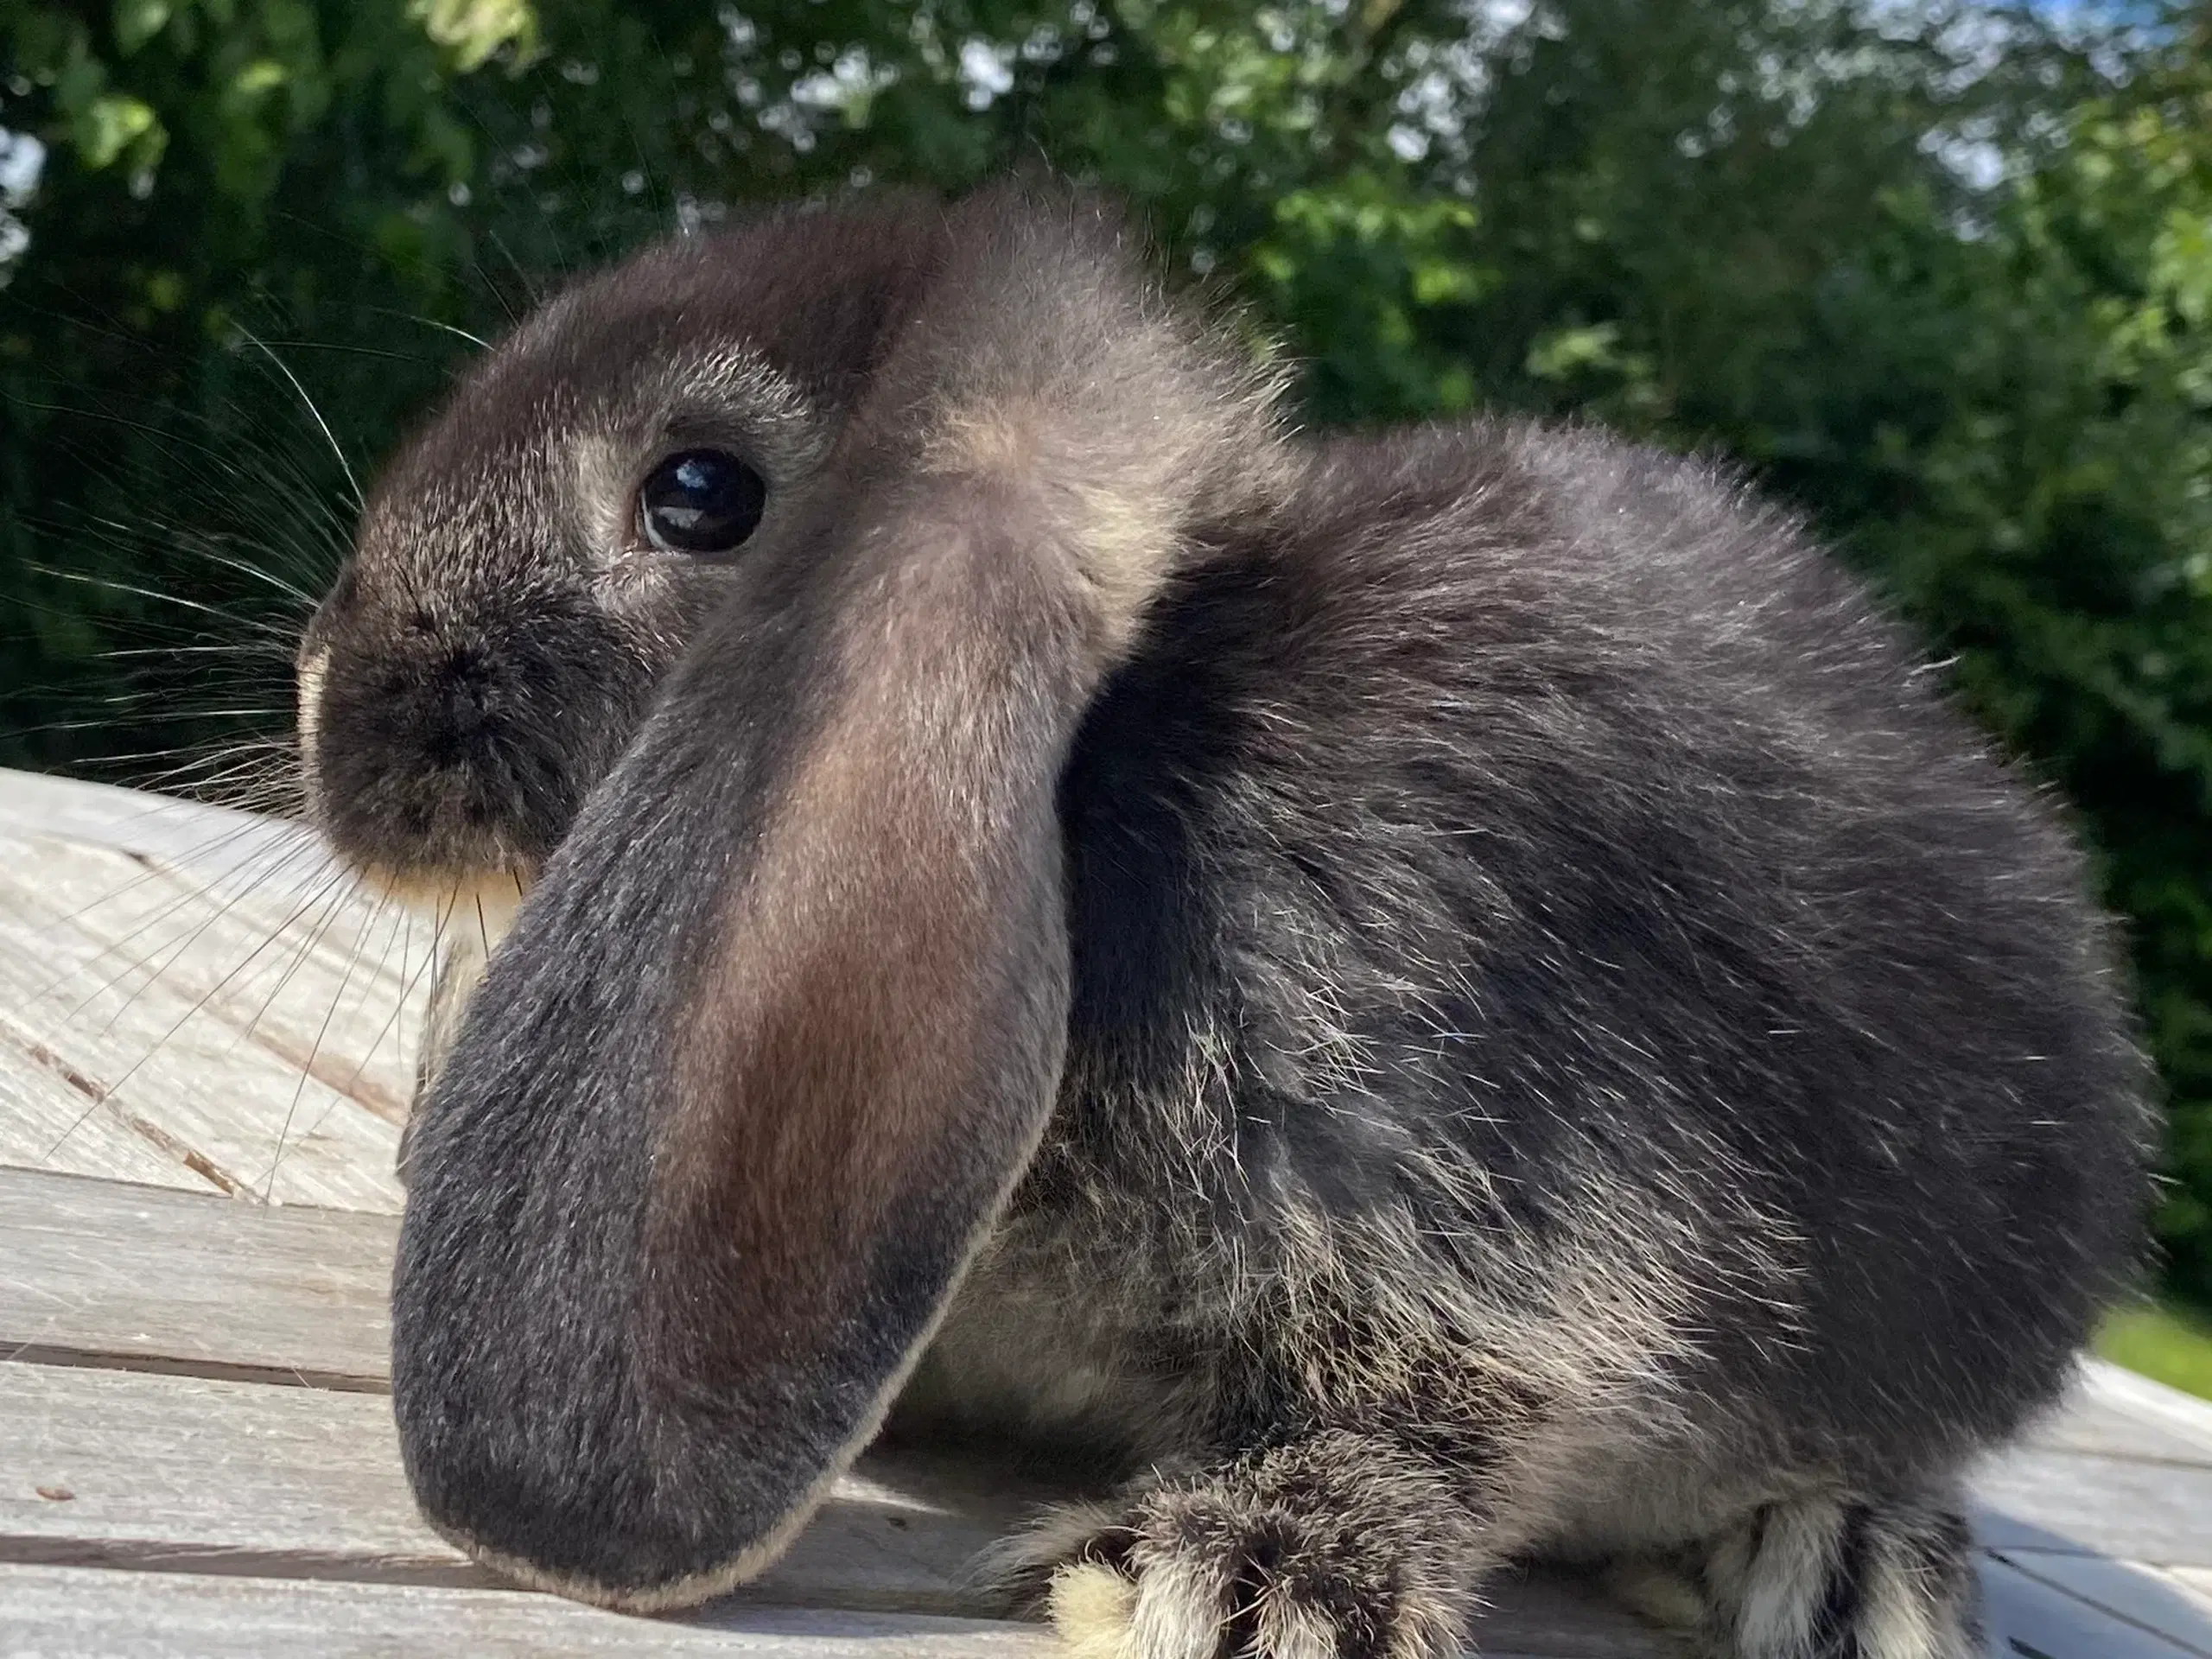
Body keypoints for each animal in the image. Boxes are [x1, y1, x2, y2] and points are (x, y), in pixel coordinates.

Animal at [289, 184, 2141, 1659]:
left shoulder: (1485, 1168)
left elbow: (1458, 1392)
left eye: (697, 497)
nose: (322, 689)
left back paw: (1842, 1560)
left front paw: (1242, 1579)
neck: (1115, 778)